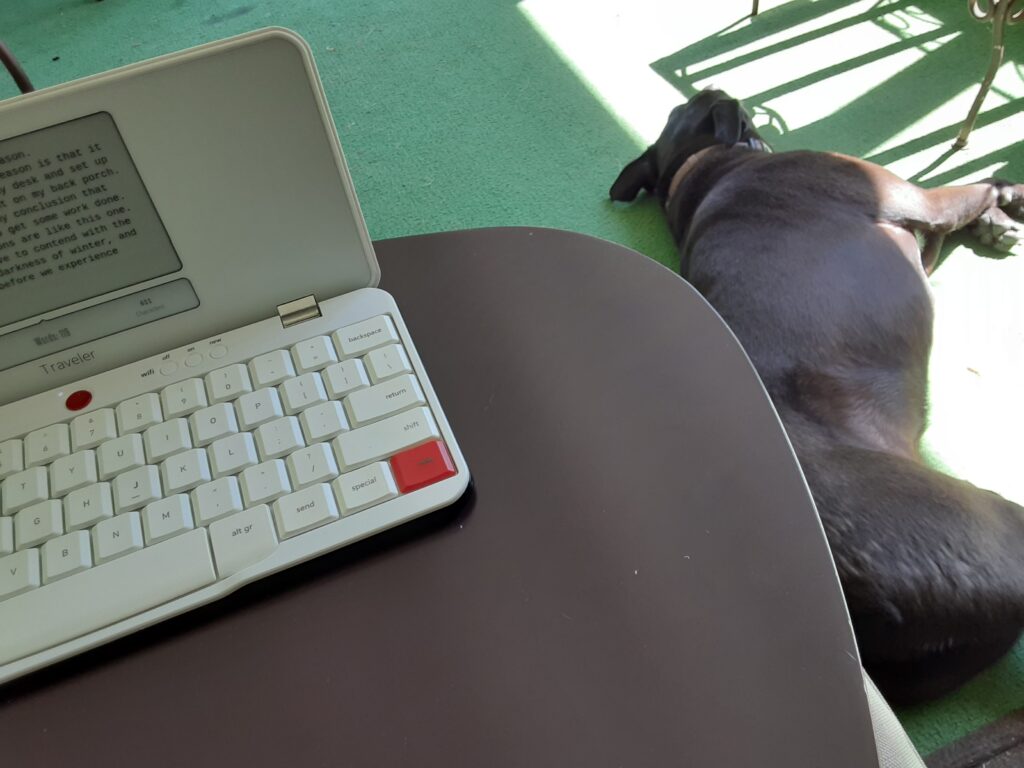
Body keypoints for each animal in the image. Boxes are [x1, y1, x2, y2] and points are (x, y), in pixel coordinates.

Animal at [610, 87, 1024, 708]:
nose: (714, 90)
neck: (702, 168)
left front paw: (995, 224)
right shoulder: (919, 198)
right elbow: (973, 188)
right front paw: (1007, 196)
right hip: (994, 521)